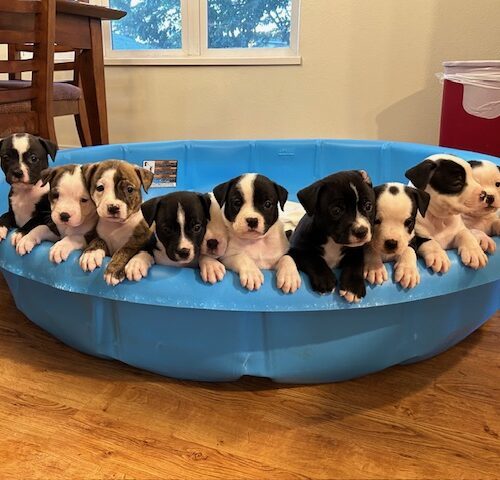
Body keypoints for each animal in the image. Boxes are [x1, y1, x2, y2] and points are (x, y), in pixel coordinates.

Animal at [286, 170, 376, 304]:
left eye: (368, 206)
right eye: (336, 210)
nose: (361, 231)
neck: (333, 242)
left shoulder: (357, 249)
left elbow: (356, 262)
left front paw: (352, 287)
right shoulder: (297, 249)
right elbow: (312, 258)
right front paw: (325, 279)